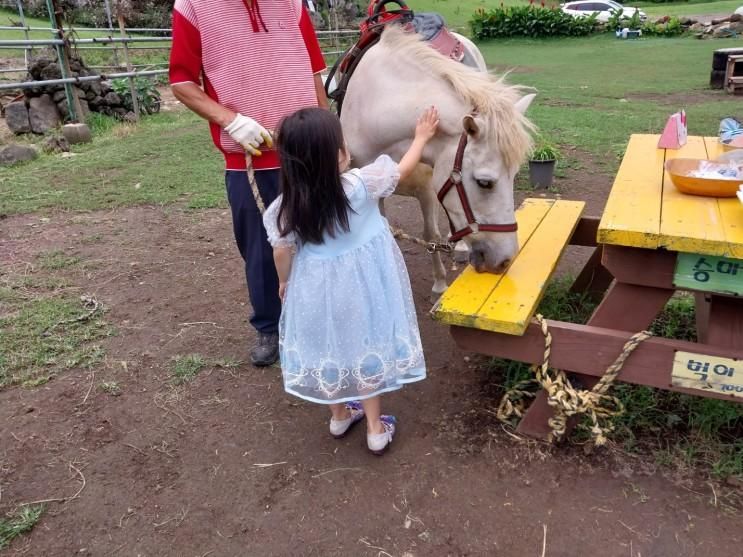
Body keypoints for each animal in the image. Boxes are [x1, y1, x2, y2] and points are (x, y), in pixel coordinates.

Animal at [340, 26, 536, 296]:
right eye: (485, 182)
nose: (505, 261)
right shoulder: (370, 187)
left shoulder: (427, 190)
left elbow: (431, 235)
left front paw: (440, 282)